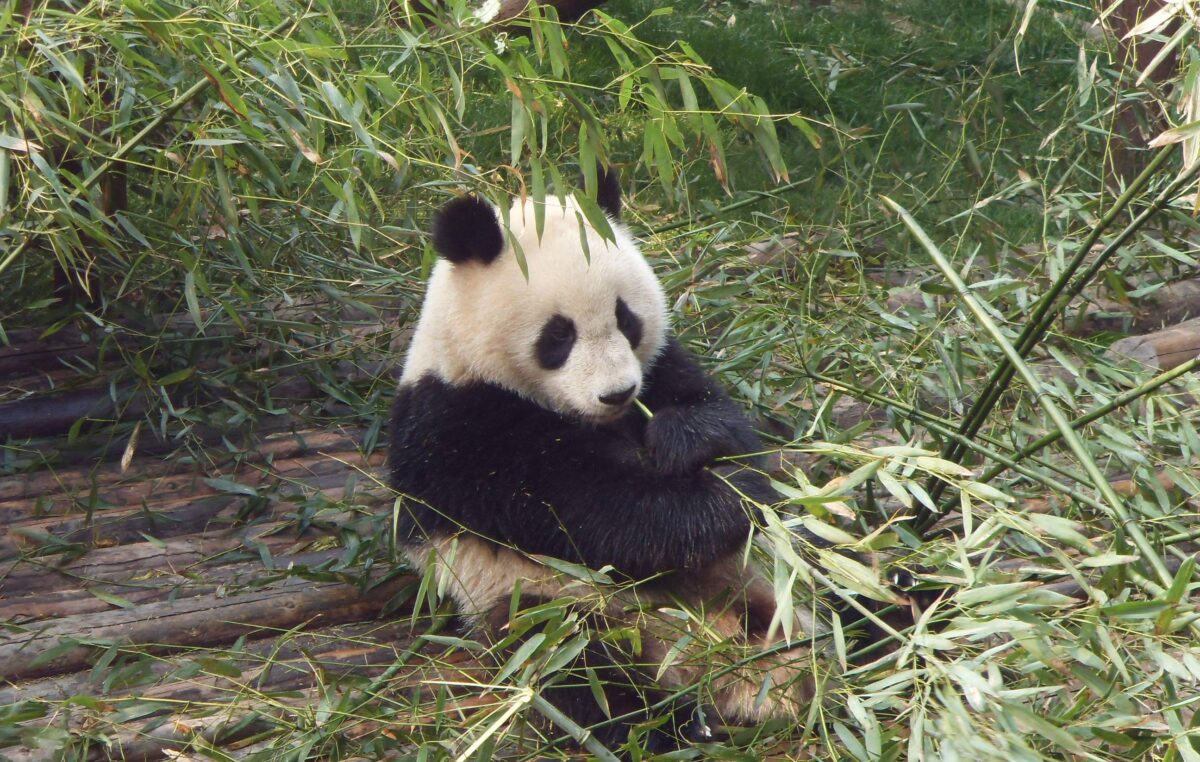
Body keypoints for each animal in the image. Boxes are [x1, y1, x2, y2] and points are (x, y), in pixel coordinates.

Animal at [389, 169, 832, 753]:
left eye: (627, 319)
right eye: (558, 335)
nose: (618, 393)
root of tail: (723, 667)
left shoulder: (663, 364)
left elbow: (721, 418)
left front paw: (683, 439)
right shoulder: (464, 429)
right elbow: (596, 515)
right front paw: (727, 500)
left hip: (777, 582)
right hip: (546, 600)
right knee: (582, 665)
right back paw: (671, 727)